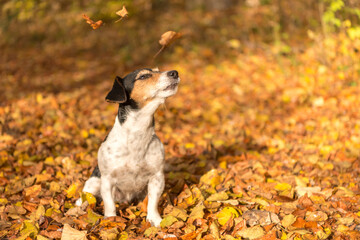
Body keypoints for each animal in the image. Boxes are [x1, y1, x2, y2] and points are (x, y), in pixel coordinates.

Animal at [75, 68, 179, 227]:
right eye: (143, 76)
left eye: (157, 70)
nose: (174, 72)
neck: (138, 135)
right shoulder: (107, 180)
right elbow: (109, 205)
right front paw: (111, 221)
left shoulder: (157, 178)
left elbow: (152, 202)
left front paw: (154, 220)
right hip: (94, 183)